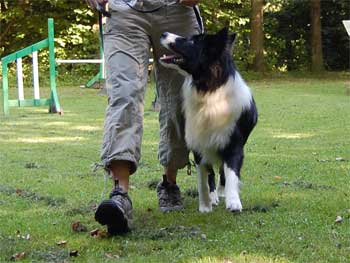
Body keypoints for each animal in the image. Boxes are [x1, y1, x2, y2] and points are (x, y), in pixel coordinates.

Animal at [159, 28, 258, 214]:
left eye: (191, 41)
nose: (163, 33)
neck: (210, 91)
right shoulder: (198, 144)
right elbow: (203, 180)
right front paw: (205, 205)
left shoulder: (233, 143)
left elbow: (231, 173)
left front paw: (233, 201)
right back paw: (213, 196)